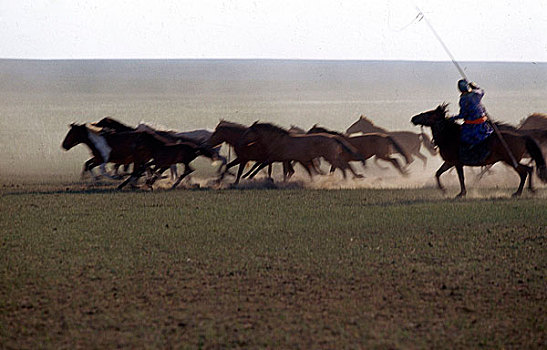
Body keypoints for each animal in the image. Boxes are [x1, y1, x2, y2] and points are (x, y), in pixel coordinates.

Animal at [412, 104, 547, 197]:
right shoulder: (450, 162)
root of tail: (522, 137)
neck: (450, 136)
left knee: (524, 172)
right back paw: (529, 190)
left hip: (509, 160)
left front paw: (461, 194)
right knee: (529, 169)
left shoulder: (457, 163)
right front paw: (444, 190)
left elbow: (461, 178)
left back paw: (518, 193)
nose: (414, 118)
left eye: (429, 114)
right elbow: (438, 173)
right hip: (510, 160)